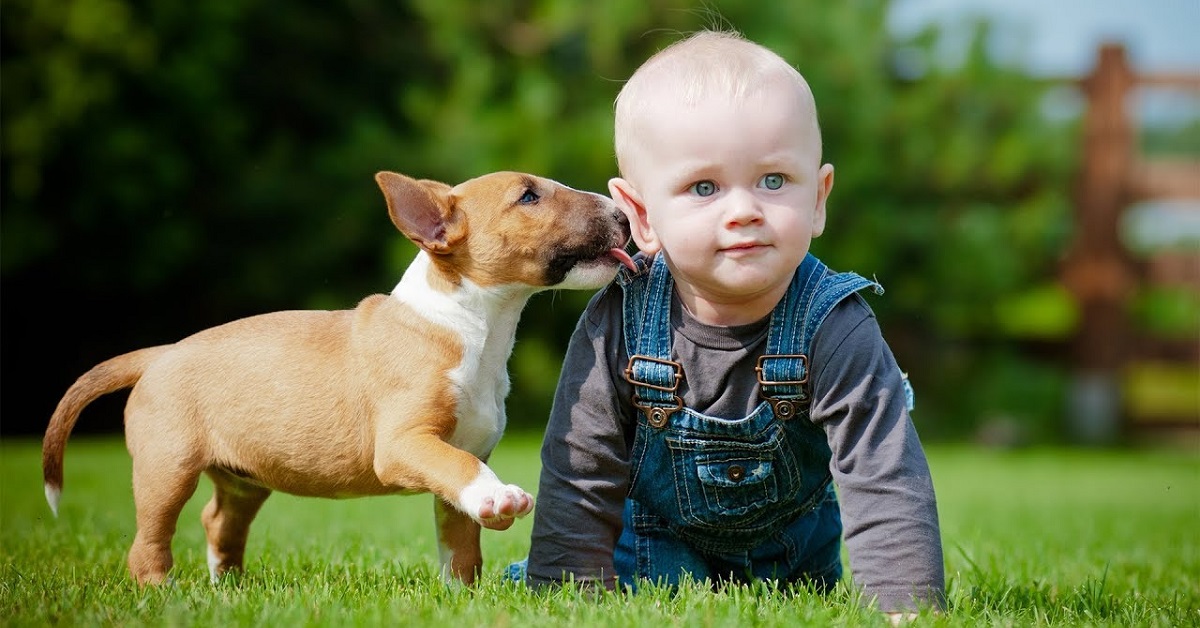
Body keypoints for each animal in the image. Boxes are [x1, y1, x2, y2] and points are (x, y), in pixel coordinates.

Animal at [41, 169, 633, 588]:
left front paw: (460, 594)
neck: (469, 325)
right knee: (149, 540)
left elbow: (459, 537)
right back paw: (163, 592)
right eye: (528, 197)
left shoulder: (464, 451)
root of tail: (158, 354)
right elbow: (461, 471)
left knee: (218, 521)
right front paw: (500, 501)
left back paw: (227, 587)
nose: (623, 215)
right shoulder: (405, 443)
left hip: (242, 478)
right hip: (167, 468)